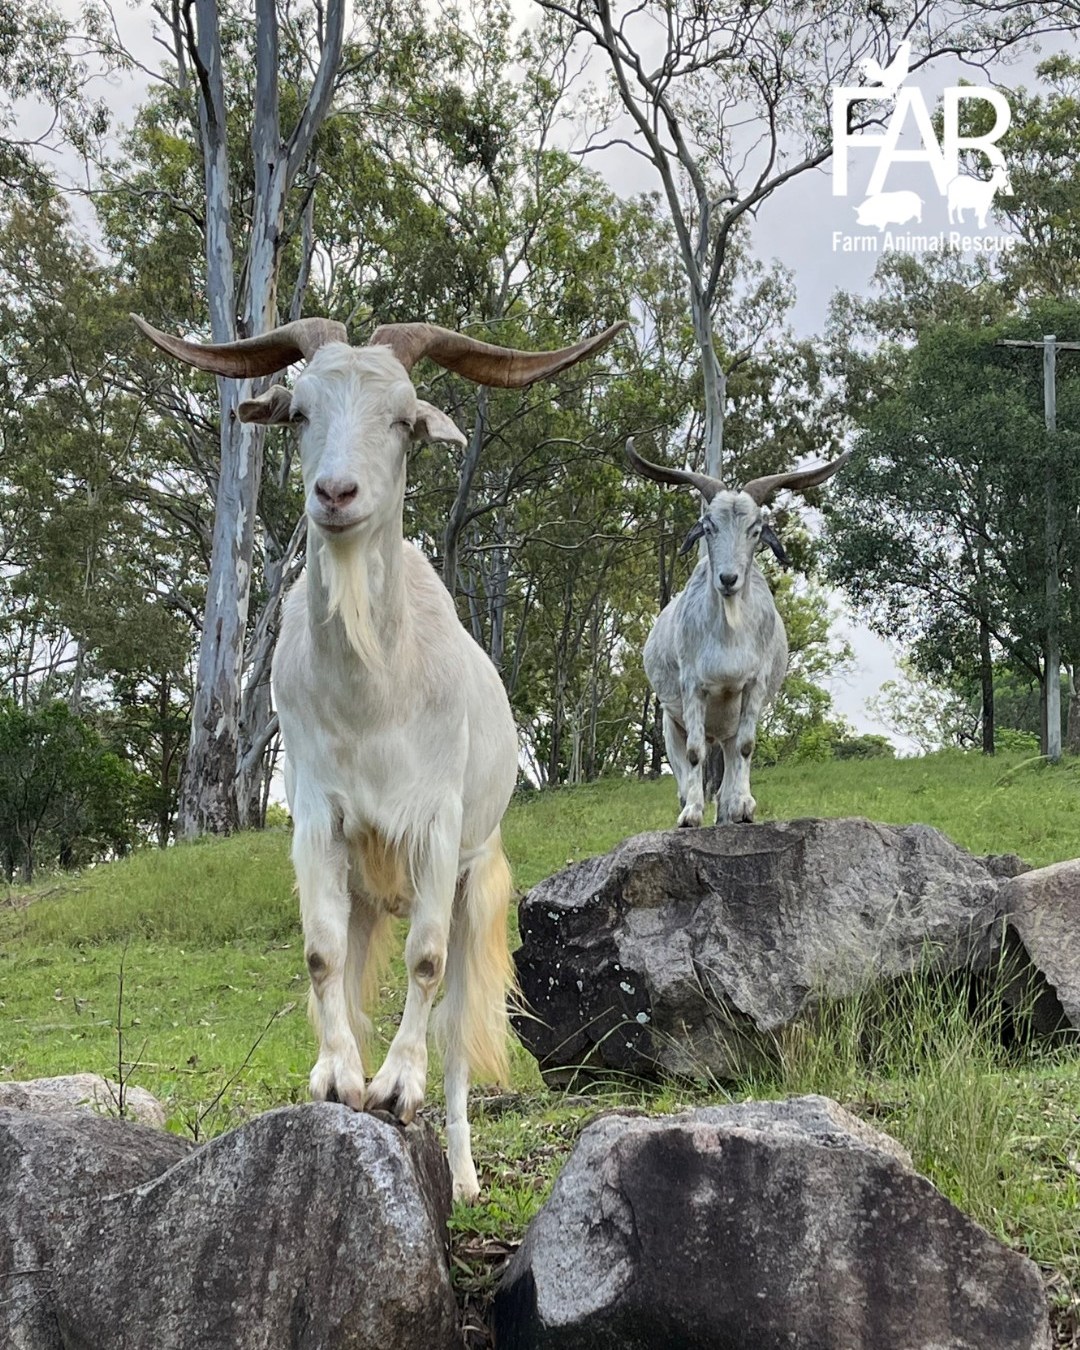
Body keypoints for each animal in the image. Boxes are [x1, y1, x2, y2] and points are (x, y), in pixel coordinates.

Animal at [135, 310, 623, 1198]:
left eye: (402, 421)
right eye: (299, 414)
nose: (335, 495)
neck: (376, 690)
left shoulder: (436, 829)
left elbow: (424, 964)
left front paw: (397, 1088)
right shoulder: (319, 822)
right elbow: (320, 954)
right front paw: (340, 1081)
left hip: (475, 883)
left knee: (458, 1024)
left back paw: (460, 1172)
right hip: (367, 889)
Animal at [623, 437, 853, 826]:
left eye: (755, 529)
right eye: (708, 525)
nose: (728, 579)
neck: (729, 634)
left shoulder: (753, 685)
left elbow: (746, 747)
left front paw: (743, 807)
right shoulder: (692, 686)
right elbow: (695, 753)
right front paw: (691, 813)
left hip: (727, 724)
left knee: (730, 756)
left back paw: (729, 807)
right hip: (671, 720)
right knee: (685, 760)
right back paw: (692, 802)